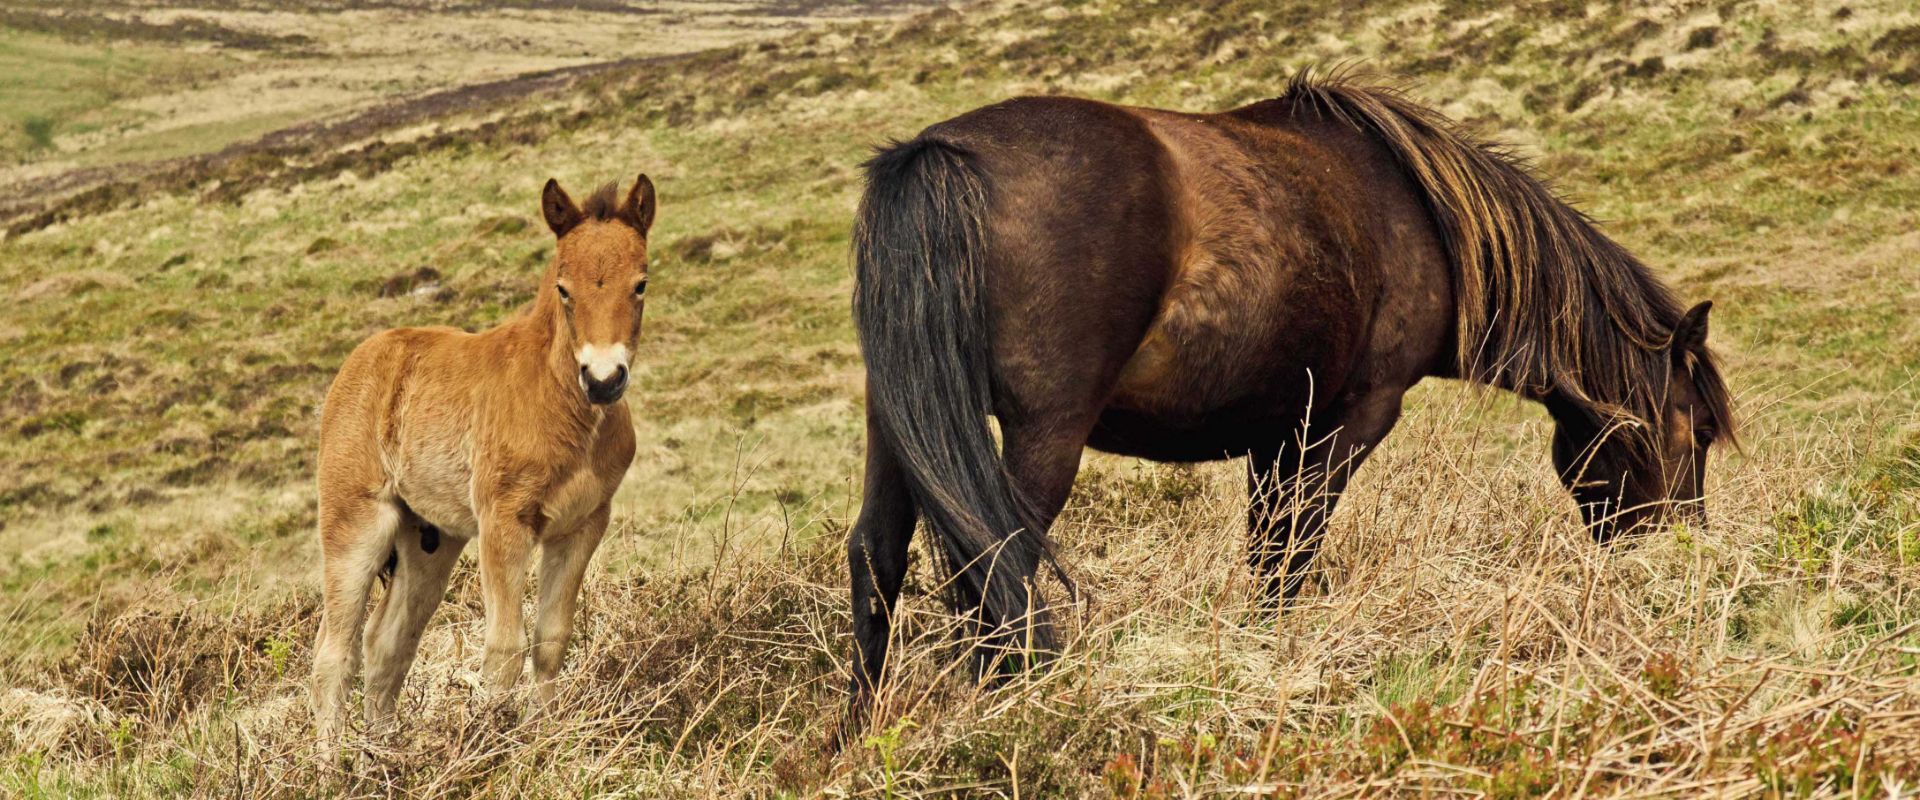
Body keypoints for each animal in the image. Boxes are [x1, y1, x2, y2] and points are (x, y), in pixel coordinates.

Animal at [307, 171, 652, 744]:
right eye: (563, 288)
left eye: (641, 283)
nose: (603, 380)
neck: (559, 401)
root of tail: (359, 361)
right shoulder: (503, 523)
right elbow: (504, 649)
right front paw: (494, 741)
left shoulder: (582, 526)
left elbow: (551, 639)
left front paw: (540, 737)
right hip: (356, 526)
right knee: (334, 655)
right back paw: (332, 759)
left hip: (430, 542)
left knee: (387, 644)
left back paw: (382, 752)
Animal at [848, 71, 1735, 713]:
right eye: (1693, 430)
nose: (1684, 557)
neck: (1424, 218)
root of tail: (938, 154)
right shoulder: (1347, 423)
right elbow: (1291, 554)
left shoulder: (1276, 434)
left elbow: (1267, 551)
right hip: (1043, 434)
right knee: (994, 563)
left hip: (901, 428)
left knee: (878, 557)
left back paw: (862, 731)